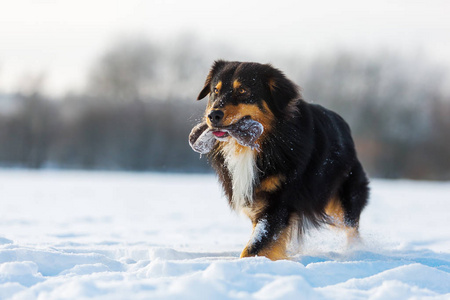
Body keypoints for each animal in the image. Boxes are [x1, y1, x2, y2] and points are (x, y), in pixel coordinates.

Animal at [190, 61, 370, 260]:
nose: (213, 115)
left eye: (243, 90)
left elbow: (256, 245)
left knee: (351, 226)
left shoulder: (279, 202)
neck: (258, 145)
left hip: (343, 199)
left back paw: (356, 251)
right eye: (216, 90)